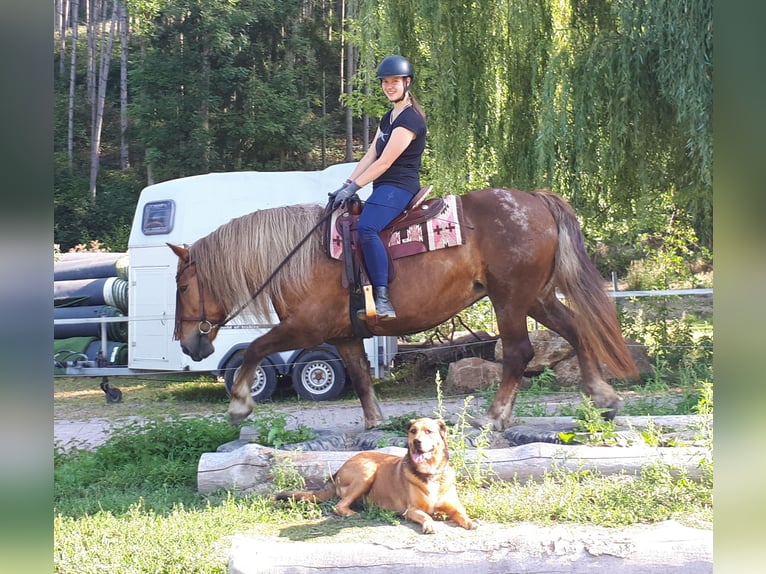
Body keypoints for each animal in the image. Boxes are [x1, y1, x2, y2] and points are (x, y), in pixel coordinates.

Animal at [169, 187, 638, 431]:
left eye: (183, 285)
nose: (188, 343)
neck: (297, 256)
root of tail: (537, 200)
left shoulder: (306, 327)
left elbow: (254, 349)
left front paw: (239, 405)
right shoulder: (343, 334)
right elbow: (359, 376)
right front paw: (375, 424)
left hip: (509, 300)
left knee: (520, 352)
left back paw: (494, 416)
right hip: (535, 297)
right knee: (575, 329)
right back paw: (603, 399)